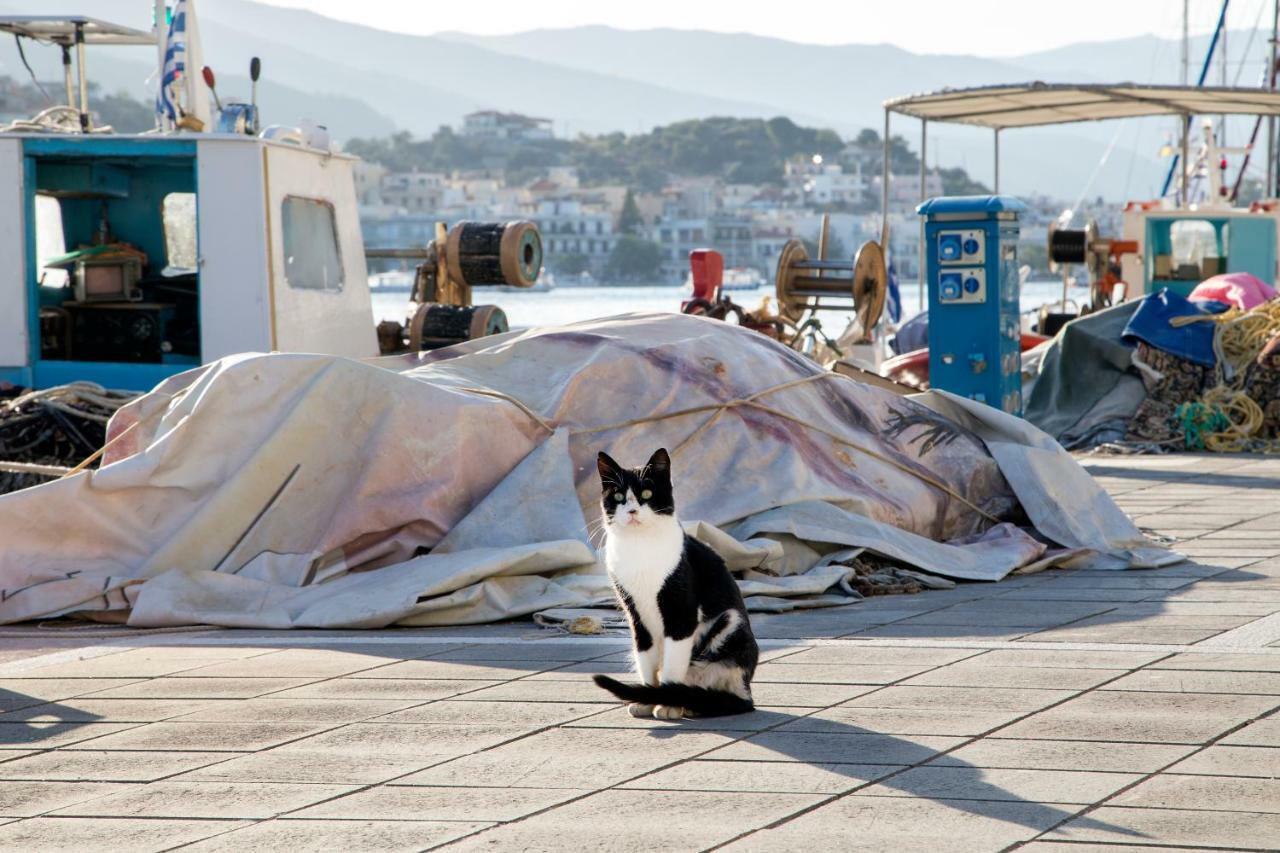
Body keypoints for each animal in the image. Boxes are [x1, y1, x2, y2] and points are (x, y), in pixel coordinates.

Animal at [591, 448, 757, 712]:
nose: (632, 511)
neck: (640, 548)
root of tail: (747, 694)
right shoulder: (635, 614)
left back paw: (686, 702)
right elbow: (645, 657)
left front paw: (665, 703)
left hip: (730, 622)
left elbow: (673, 664)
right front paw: (646, 698)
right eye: (618, 496)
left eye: (647, 493)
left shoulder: (681, 612)